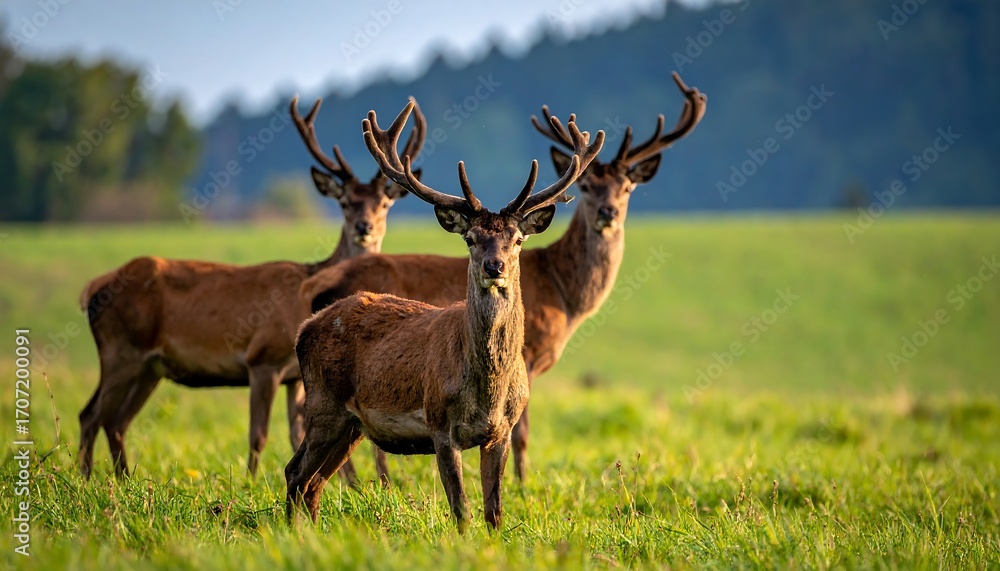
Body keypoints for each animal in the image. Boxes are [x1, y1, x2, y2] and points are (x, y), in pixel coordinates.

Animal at [77, 96, 426, 479]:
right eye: (345, 203)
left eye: (384, 203)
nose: (365, 227)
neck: (307, 295)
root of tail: (92, 288)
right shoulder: (263, 358)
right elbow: (258, 435)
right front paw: (250, 482)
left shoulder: (294, 377)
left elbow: (297, 433)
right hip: (119, 350)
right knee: (91, 414)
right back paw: (86, 479)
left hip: (148, 366)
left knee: (115, 421)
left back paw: (120, 478)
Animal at [285, 100, 604, 532]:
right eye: (471, 239)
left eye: (517, 239)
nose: (494, 266)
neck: (487, 390)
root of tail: (306, 328)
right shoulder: (439, 425)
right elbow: (462, 510)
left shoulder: (501, 431)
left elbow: (494, 510)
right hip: (323, 404)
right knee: (295, 472)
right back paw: (290, 532)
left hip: (351, 425)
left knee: (313, 481)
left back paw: (311, 534)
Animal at [298, 72, 707, 486]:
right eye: (587, 187)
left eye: (627, 187)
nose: (608, 212)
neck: (564, 294)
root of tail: (316, 287)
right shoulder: (529, 354)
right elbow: (523, 431)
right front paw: (524, 482)